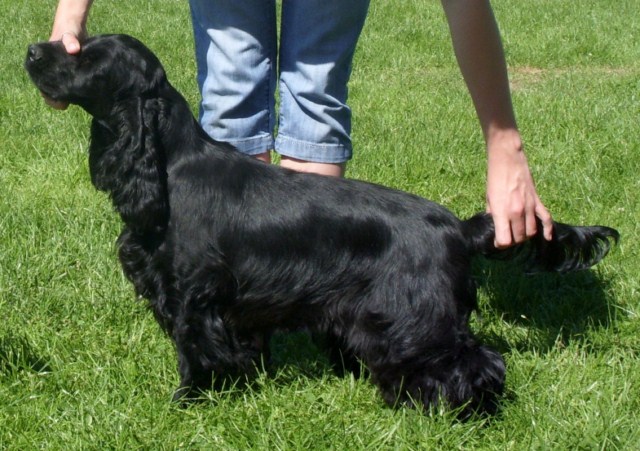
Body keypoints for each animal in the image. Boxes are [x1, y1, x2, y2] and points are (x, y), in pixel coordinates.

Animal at [25, 34, 618, 417]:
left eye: (87, 58)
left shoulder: (194, 294)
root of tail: (457, 226)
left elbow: (195, 352)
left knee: (473, 362)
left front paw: (188, 401)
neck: (170, 169)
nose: (32, 50)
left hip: (414, 313)